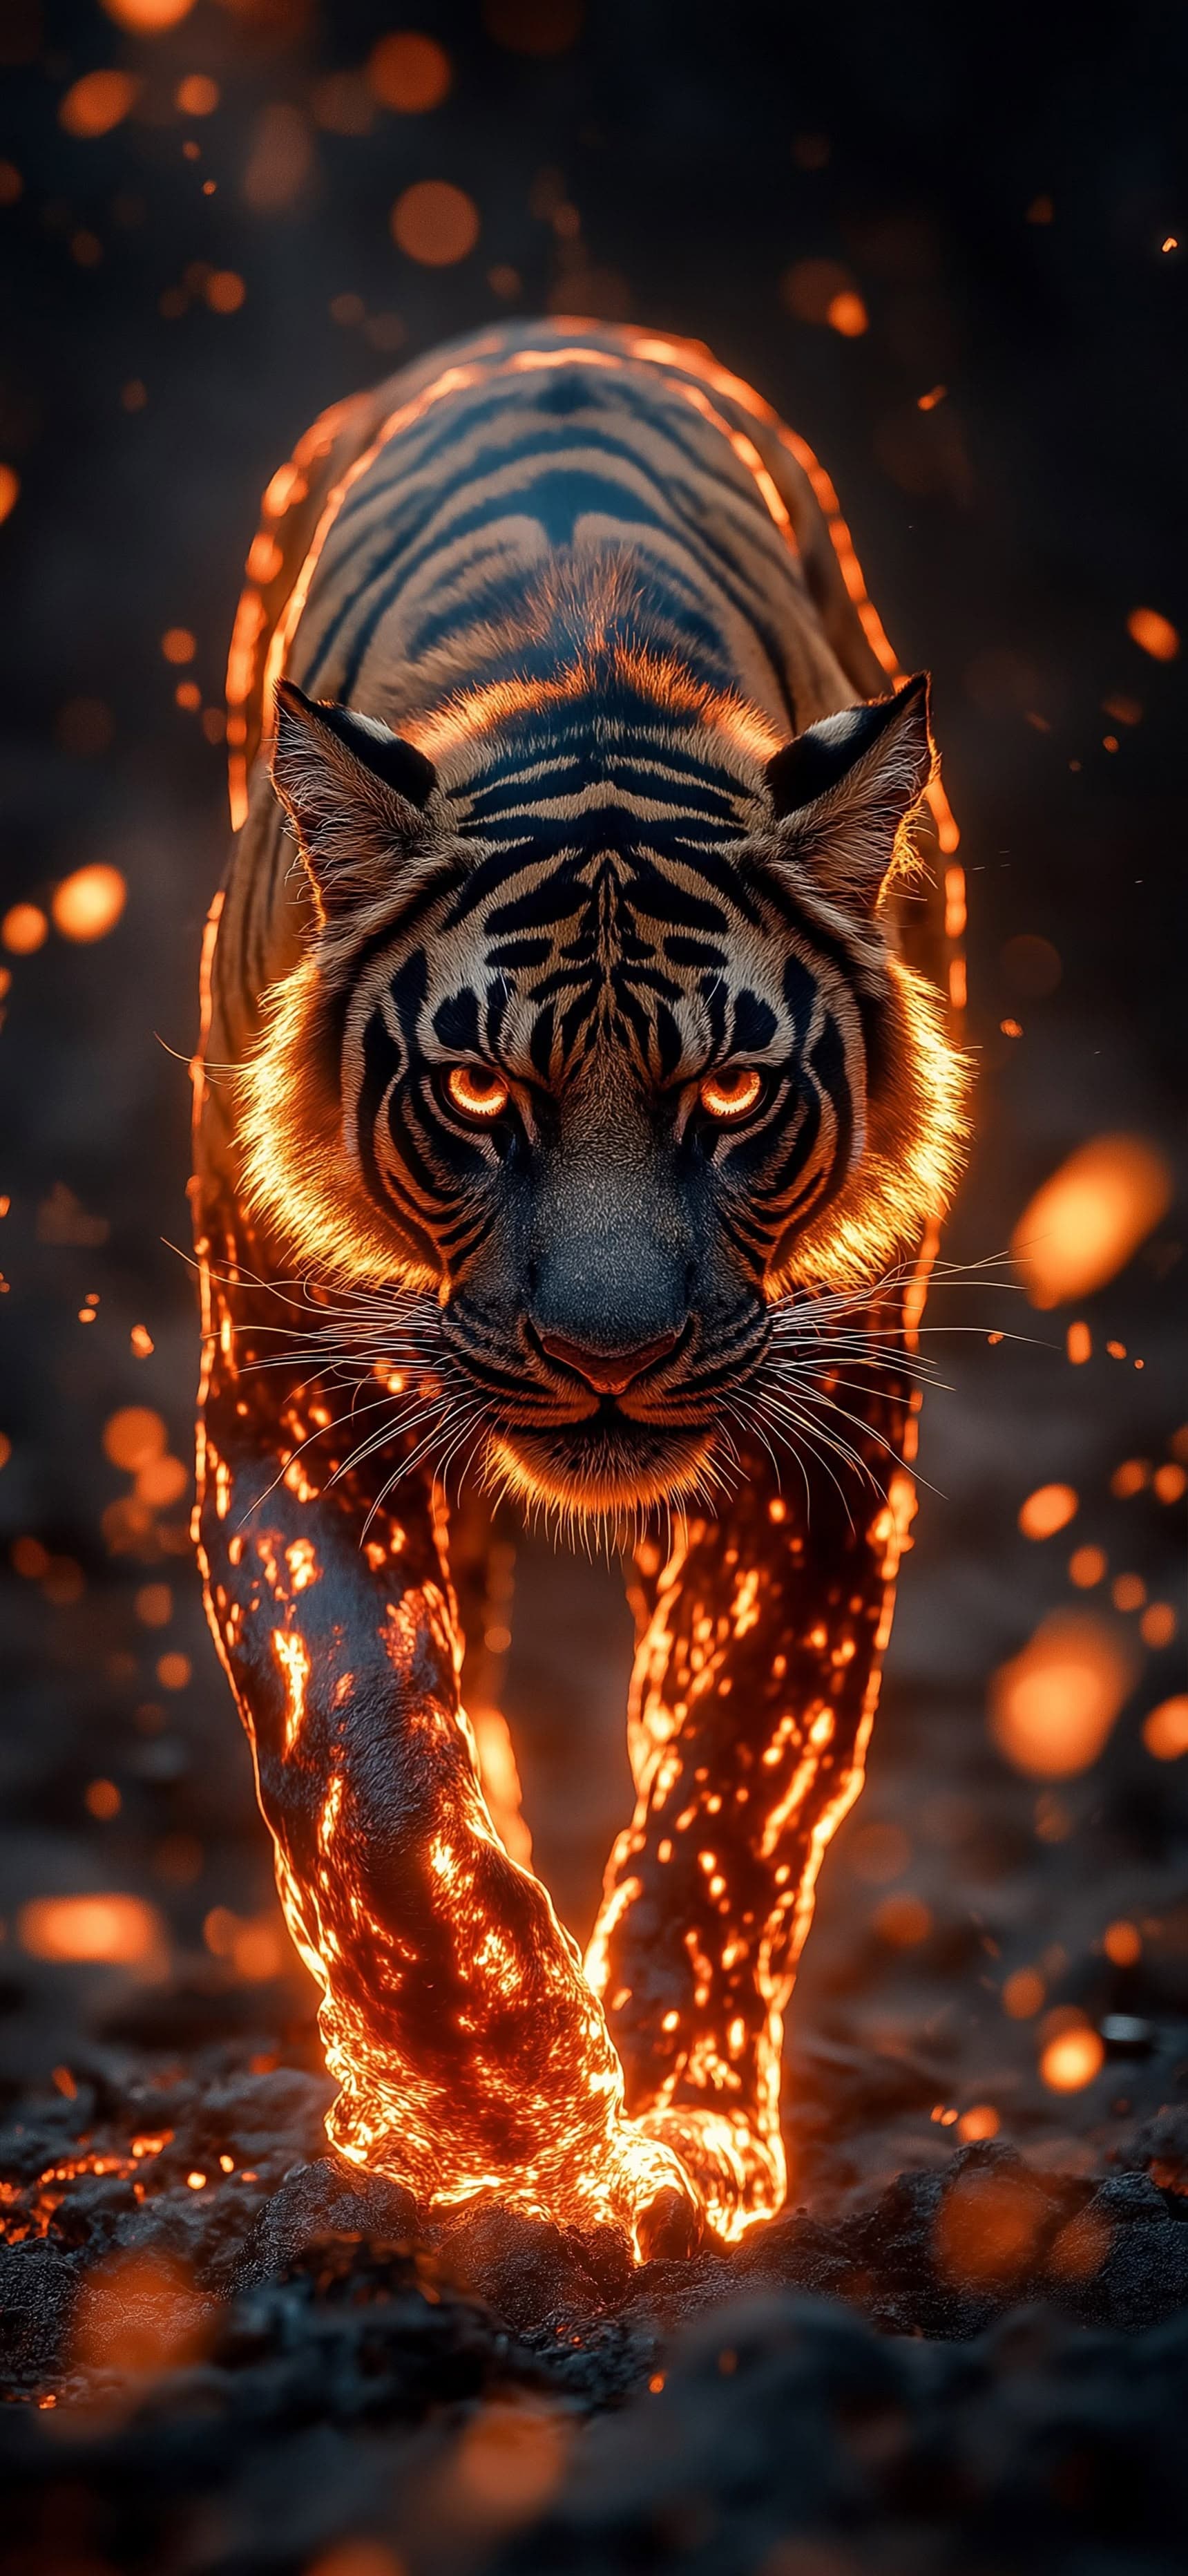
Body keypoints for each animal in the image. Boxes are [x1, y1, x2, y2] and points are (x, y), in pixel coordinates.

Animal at [192, 318, 968, 2258]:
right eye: (479, 1093)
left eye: (732, 1091)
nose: (606, 1354)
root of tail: (551, 328)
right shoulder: (289, 1399)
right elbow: (374, 1757)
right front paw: (505, 2091)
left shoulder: (824, 1432)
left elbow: (734, 1788)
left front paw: (686, 2135)